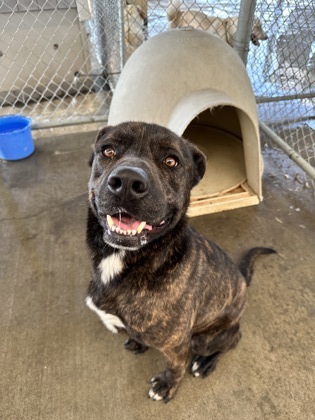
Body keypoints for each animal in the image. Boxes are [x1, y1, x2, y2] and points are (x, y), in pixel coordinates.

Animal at [85, 120, 276, 400]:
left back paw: (205, 362)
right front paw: (138, 342)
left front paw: (166, 386)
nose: (128, 181)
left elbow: (176, 366)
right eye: (108, 151)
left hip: (205, 337)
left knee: (233, 339)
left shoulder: (177, 345)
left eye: (171, 161)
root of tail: (241, 279)